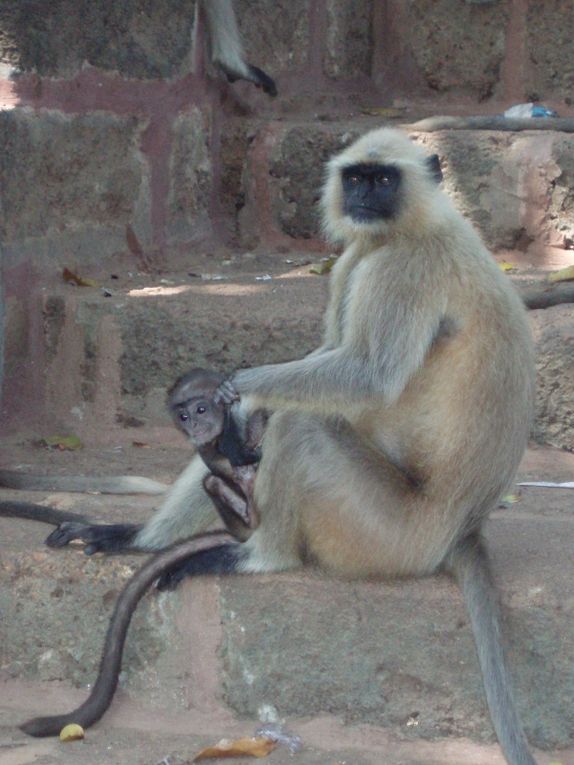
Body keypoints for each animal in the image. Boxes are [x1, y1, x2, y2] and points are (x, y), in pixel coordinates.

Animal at [165, 368, 266, 536]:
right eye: (183, 417)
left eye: (201, 410)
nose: (193, 424)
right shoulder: (204, 447)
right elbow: (242, 457)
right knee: (211, 482)